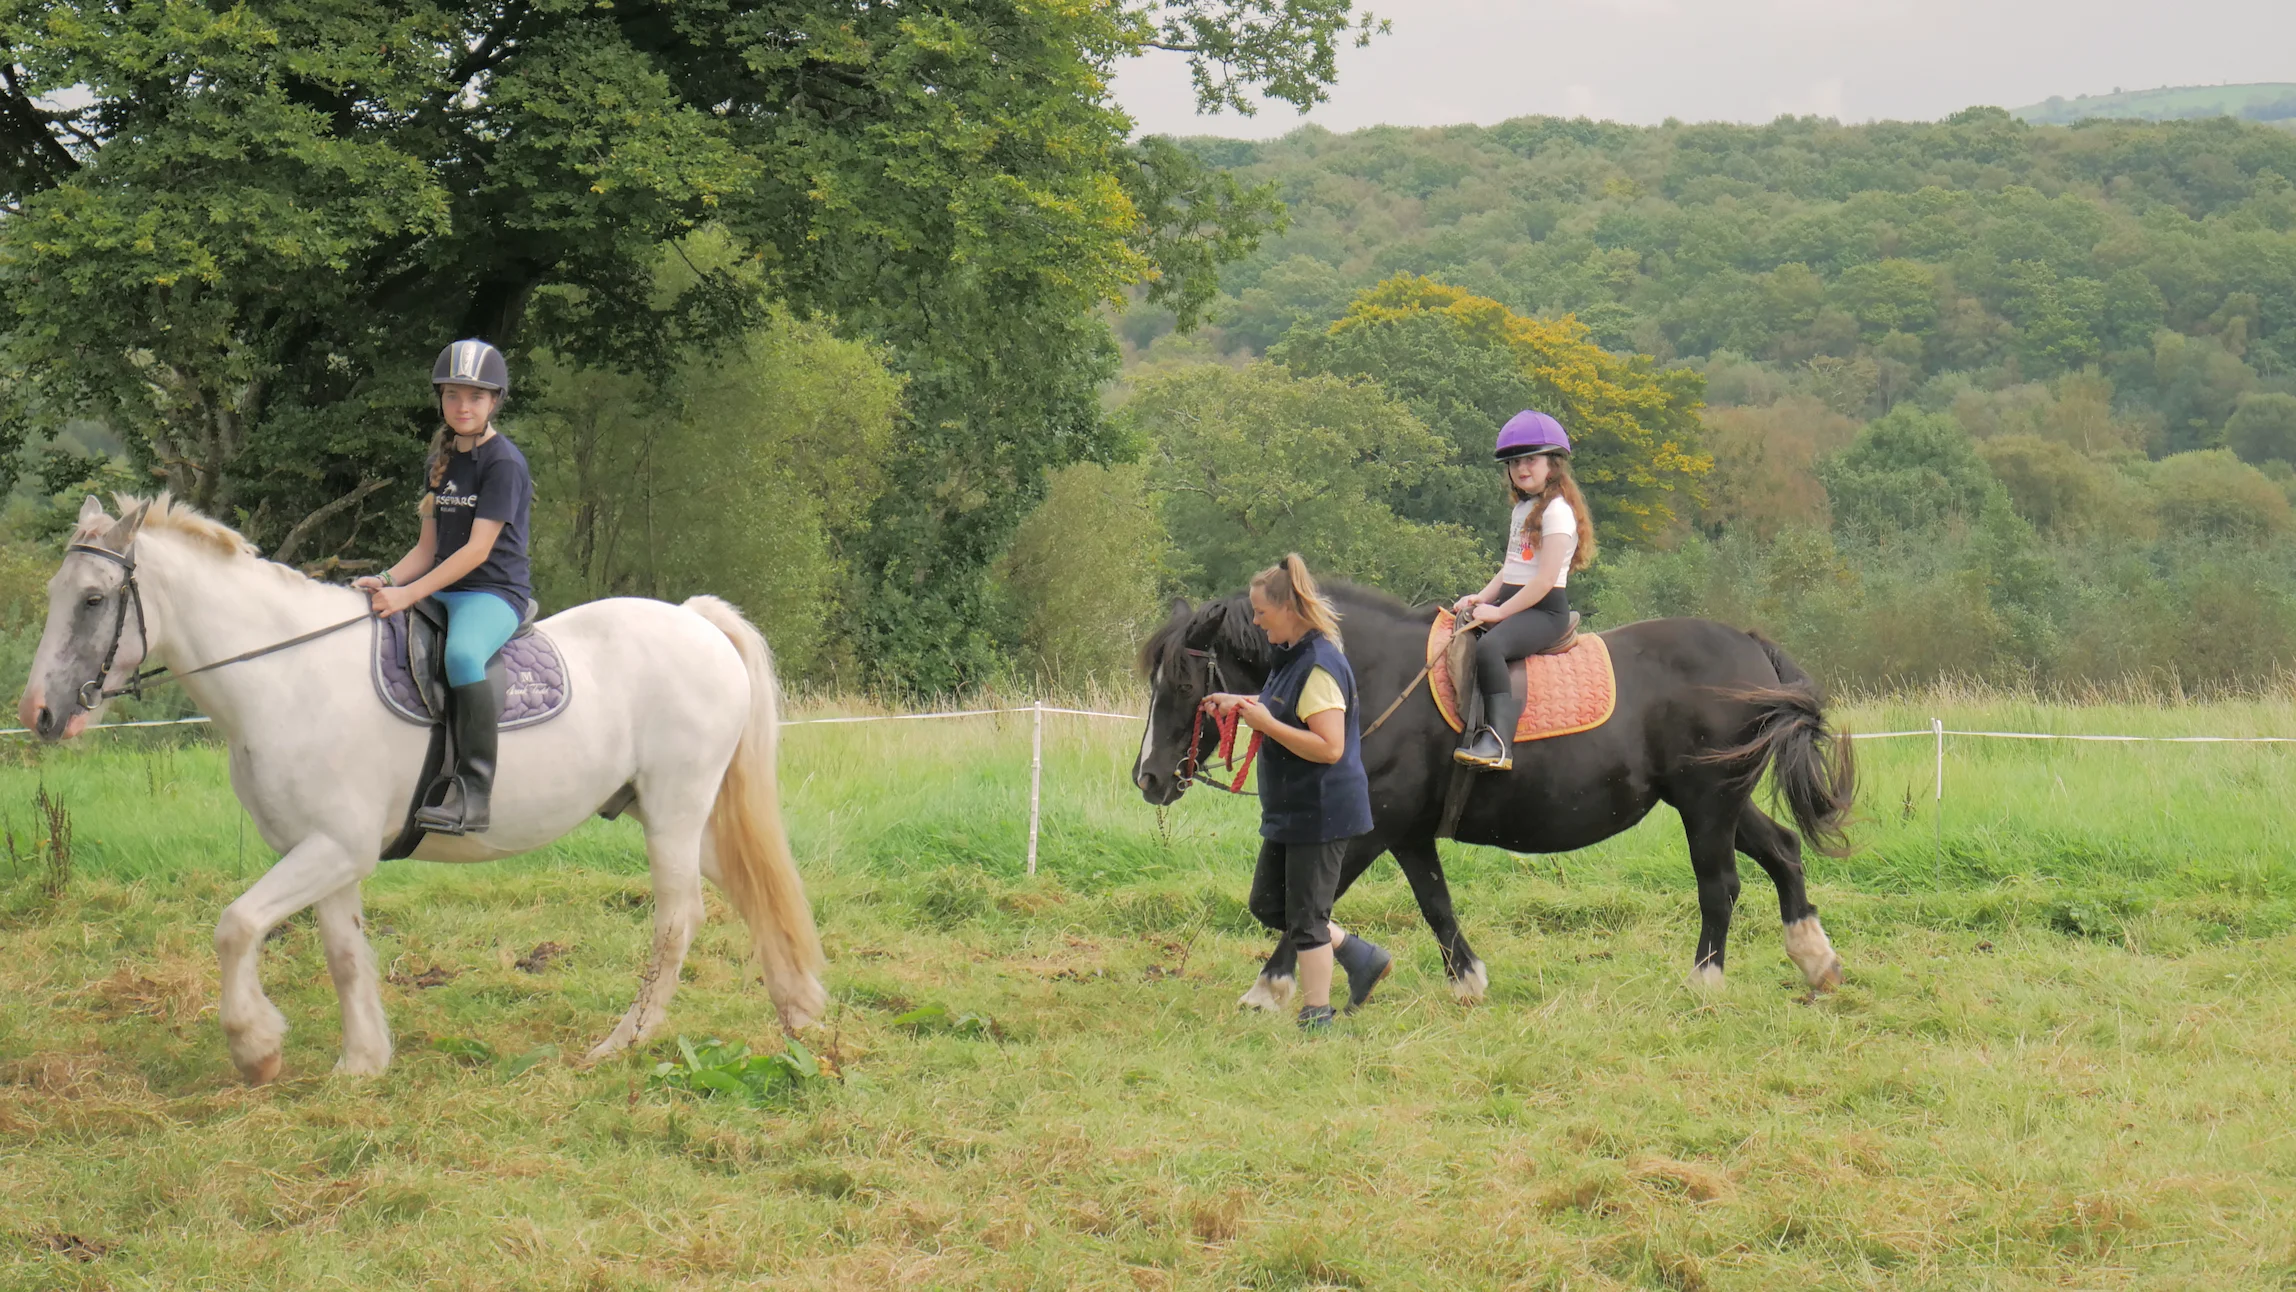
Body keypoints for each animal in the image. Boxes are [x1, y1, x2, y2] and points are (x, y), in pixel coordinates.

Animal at [17, 495, 825, 1082]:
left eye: (93, 600)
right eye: (57, 593)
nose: (40, 714)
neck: (283, 675)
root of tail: (696, 622)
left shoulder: (333, 848)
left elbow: (236, 925)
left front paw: (257, 1048)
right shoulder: (325, 851)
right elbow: (343, 953)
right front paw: (362, 1064)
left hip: (672, 810)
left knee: (677, 919)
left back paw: (619, 1045)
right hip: (668, 814)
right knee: (750, 888)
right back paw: (801, 1016)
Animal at [1133, 583, 1857, 1008]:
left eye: (1184, 683)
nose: (1148, 776)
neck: (1368, 677)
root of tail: (1750, 647)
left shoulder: (1371, 829)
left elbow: (1304, 907)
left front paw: (1269, 987)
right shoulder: (1407, 833)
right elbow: (1433, 904)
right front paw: (1467, 979)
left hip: (1708, 801)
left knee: (1720, 885)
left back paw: (1707, 979)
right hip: (1715, 798)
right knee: (1783, 851)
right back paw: (1815, 959)